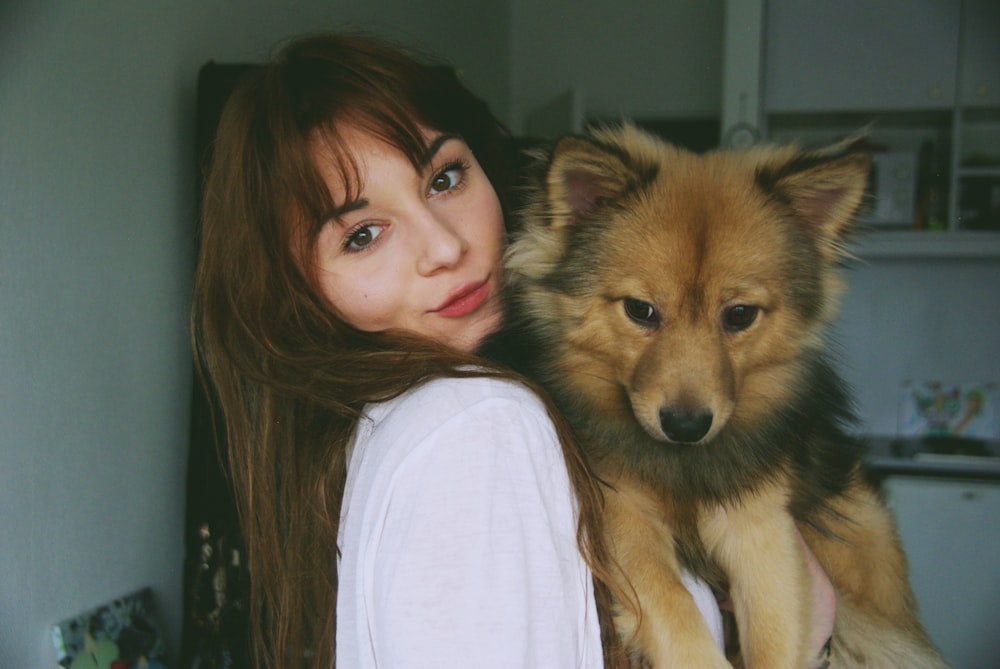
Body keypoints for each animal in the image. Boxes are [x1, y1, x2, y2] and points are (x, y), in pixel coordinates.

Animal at [488, 125, 948, 668]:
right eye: (640, 310)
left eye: (740, 315)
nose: (686, 426)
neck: (684, 470)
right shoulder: (623, 515)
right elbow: (674, 608)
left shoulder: (760, 527)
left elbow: (774, 630)